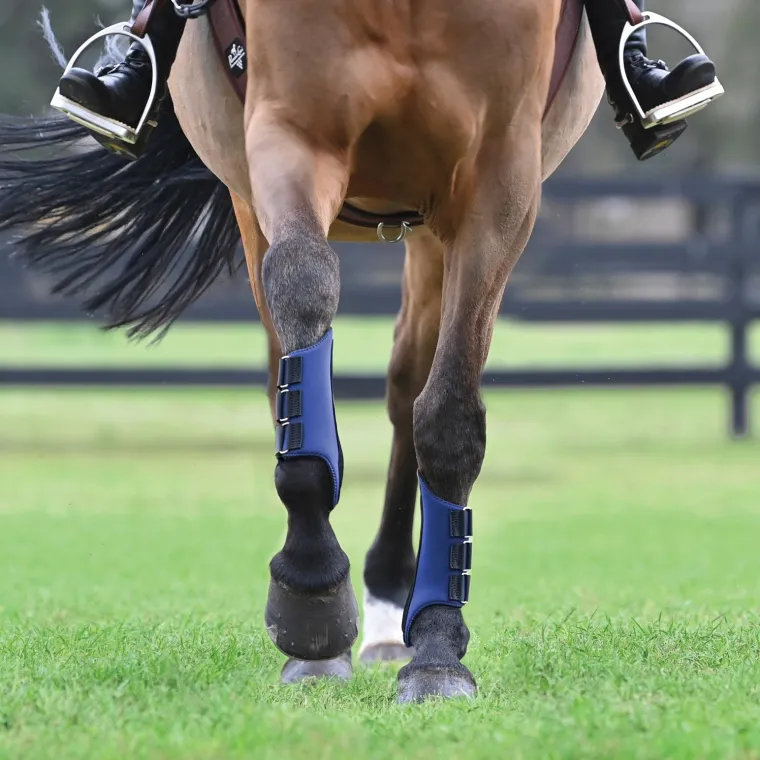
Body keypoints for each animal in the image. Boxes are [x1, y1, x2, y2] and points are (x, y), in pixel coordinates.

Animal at [0, 0, 603, 702]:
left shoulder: (497, 182)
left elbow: (449, 415)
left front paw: (437, 649)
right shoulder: (290, 136)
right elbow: (303, 289)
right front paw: (312, 594)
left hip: (431, 234)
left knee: (408, 387)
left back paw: (394, 608)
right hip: (251, 198)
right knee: (286, 369)